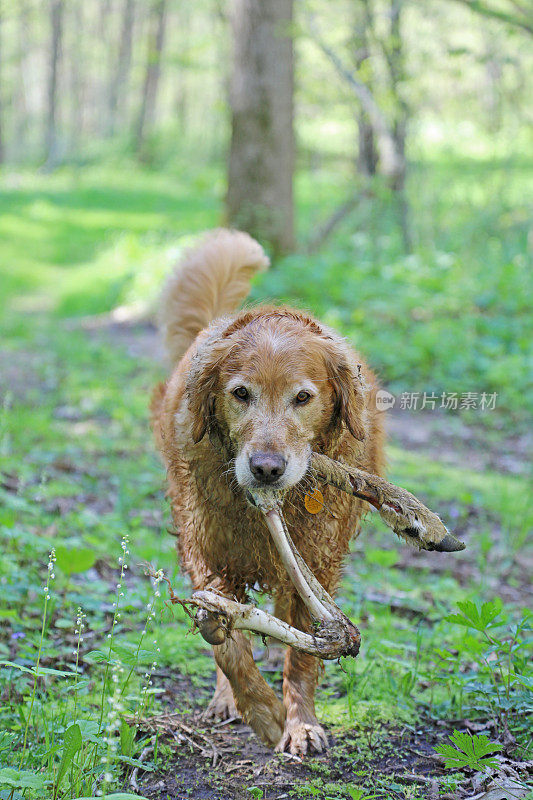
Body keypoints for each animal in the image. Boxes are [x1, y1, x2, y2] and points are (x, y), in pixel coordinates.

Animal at [150, 228, 382, 752]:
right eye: (240, 394)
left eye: (303, 397)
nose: (266, 469)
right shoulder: (207, 552)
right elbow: (227, 644)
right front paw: (262, 712)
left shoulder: (316, 557)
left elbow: (306, 653)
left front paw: (301, 723)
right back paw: (226, 701)